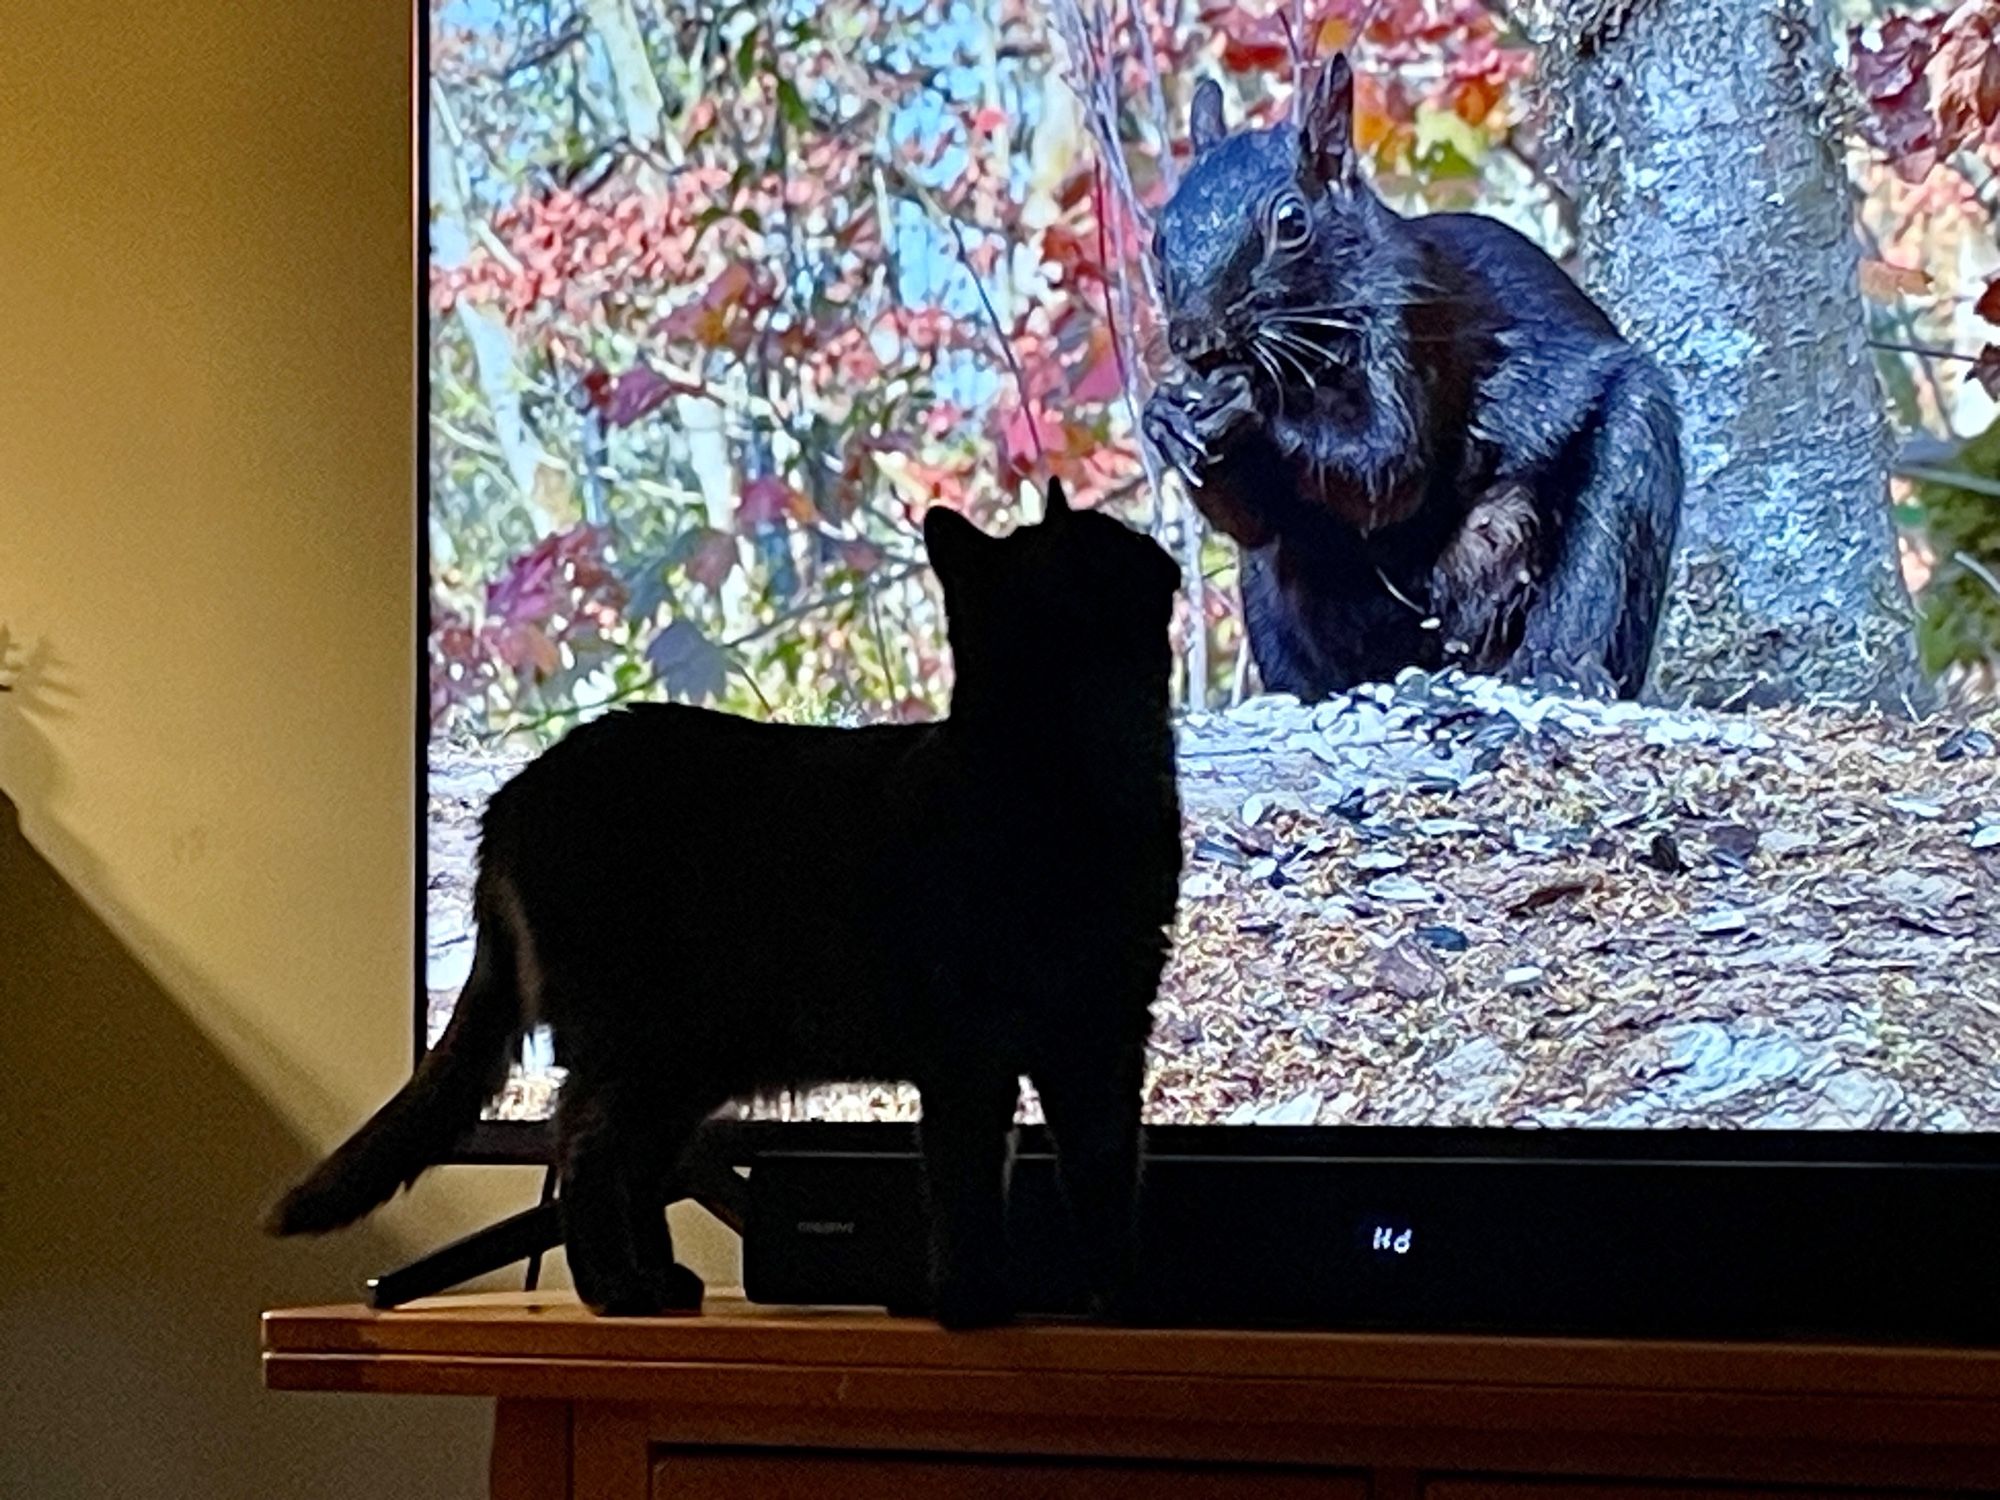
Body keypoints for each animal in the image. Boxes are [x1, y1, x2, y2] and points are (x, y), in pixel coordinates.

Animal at [270, 478, 1184, 1328]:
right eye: (1109, 541)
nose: (1167, 553)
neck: (1079, 770)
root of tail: (516, 795)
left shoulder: (1103, 1035)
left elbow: (1108, 1174)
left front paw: (1126, 1301)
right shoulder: (968, 1044)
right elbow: (965, 1180)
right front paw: (971, 1304)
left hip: (688, 1059)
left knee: (637, 1160)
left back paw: (664, 1283)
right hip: (635, 1036)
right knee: (585, 1145)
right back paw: (615, 1290)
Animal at [1152, 53, 1680, 700]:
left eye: (1292, 221)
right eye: (1159, 236)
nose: (1194, 341)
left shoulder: (1415, 321)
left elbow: (1387, 465)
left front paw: (1249, 409)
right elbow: (1252, 519)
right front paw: (1165, 418)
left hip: (1622, 478)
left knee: (1591, 573)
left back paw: (1557, 664)